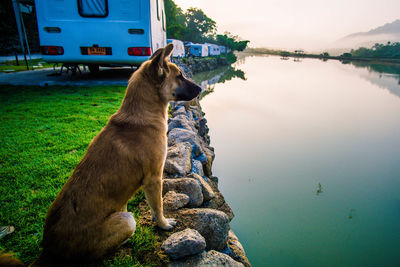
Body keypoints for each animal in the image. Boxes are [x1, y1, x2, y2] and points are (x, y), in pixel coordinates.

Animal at [28, 44, 202, 266]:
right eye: (179, 76)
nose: (200, 89)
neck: (143, 113)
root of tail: (49, 252)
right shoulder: (154, 179)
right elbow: (158, 206)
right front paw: (163, 224)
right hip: (126, 221)